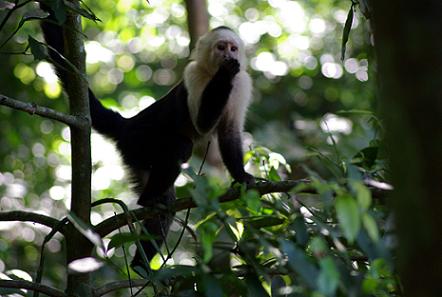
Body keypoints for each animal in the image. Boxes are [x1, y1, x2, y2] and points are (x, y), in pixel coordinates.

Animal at [42, 9, 256, 272]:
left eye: (233, 48)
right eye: (221, 47)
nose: (228, 56)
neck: (211, 73)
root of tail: (129, 124)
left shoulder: (242, 83)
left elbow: (229, 133)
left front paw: (242, 176)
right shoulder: (193, 74)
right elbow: (201, 124)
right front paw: (225, 73)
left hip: (138, 160)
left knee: (163, 207)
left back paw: (141, 265)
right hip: (139, 144)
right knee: (181, 145)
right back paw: (149, 200)